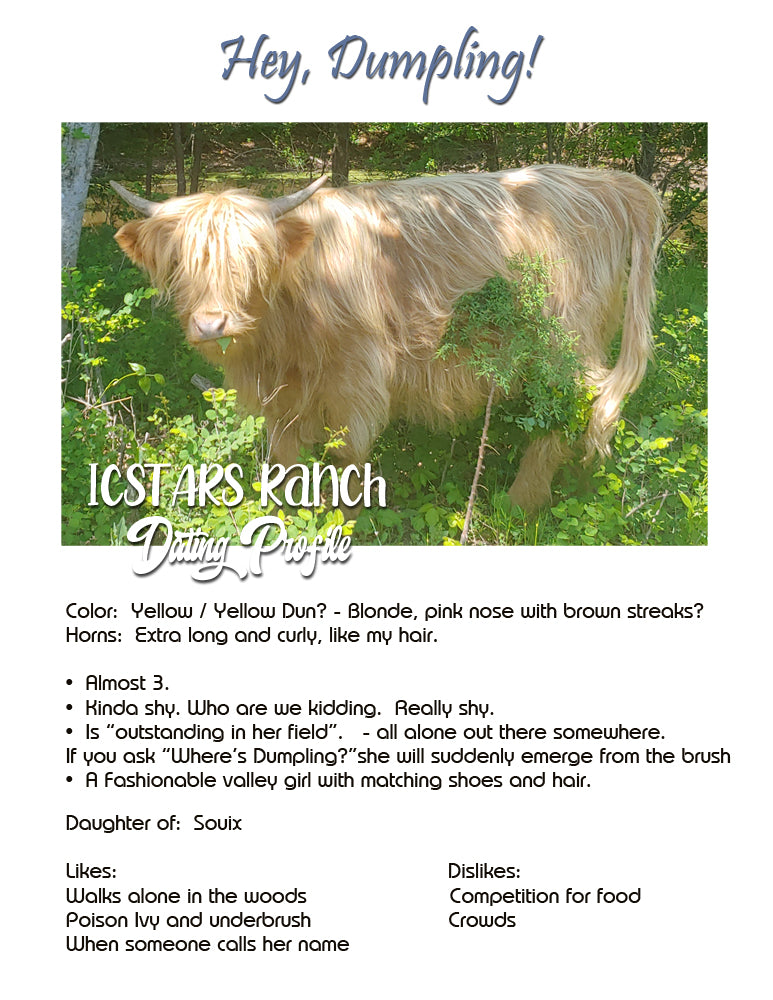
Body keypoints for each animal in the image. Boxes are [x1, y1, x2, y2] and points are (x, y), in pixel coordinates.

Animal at [111, 164, 663, 511]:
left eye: (252, 260)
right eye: (181, 262)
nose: (211, 325)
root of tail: (605, 181)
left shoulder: (358, 376)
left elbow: (347, 457)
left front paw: (344, 519)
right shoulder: (280, 394)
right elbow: (285, 461)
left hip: (564, 340)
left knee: (574, 406)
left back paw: (520, 503)